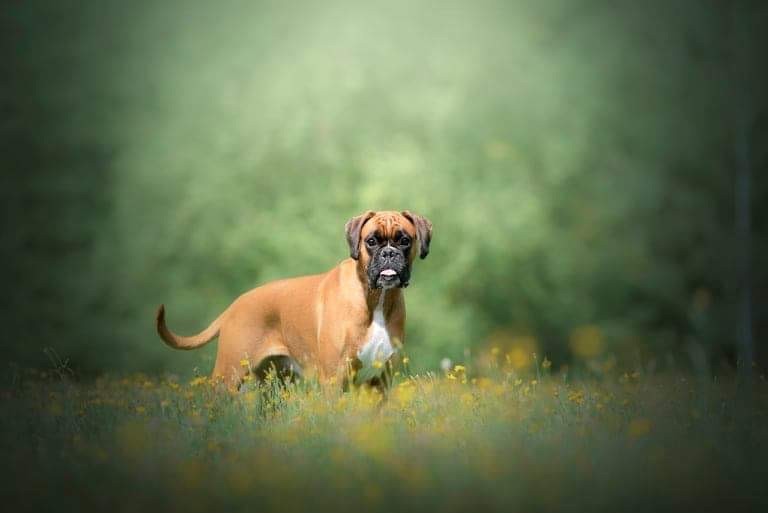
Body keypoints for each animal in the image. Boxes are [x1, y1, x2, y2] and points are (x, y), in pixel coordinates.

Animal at [156, 210, 432, 389]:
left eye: (404, 241)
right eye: (371, 241)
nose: (389, 253)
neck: (376, 299)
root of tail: (235, 305)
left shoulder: (381, 381)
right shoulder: (334, 379)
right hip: (229, 375)